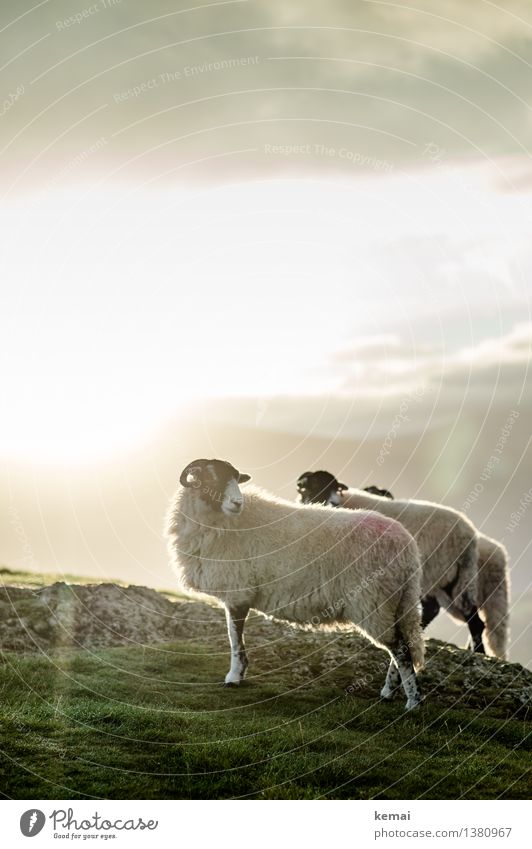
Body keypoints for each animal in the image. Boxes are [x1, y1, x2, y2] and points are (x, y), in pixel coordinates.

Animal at [165, 458, 424, 708]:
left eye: (236, 478)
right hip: (396, 603)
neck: (224, 523)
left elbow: (234, 639)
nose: (238, 503)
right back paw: (389, 693)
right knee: (403, 646)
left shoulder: (238, 592)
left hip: (374, 603)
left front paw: (234, 677)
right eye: (211, 476)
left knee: (400, 650)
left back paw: (412, 702)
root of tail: (409, 549)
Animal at [298, 470, 480, 648]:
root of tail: (469, 536)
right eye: (314, 485)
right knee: (469, 612)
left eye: (335, 488)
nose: (332, 503)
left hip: (435, 572)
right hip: (449, 575)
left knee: (438, 609)